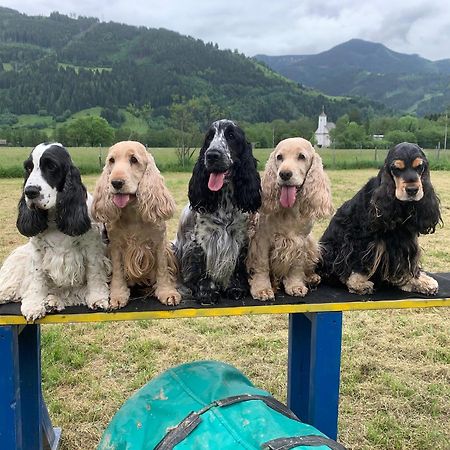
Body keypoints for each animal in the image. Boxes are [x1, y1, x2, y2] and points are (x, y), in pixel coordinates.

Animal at [0, 142, 110, 320]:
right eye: (28, 167)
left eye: (51, 166)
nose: (30, 192)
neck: (54, 216)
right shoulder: (37, 251)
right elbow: (37, 277)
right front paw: (34, 305)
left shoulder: (92, 248)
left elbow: (95, 272)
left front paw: (98, 298)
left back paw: (52, 301)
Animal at [92, 142, 181, 310]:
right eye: (111, 160)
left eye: (134, 159)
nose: (116, 183)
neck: (133, 213)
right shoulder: (115, 245)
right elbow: (118, 270)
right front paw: (118, 295)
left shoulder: (159, 242)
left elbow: (162, 268)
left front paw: (167, 292)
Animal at [174, 119, 262, 302]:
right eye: (209, 137)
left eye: (231, 136)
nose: (212, 155)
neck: (224, 200)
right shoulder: (200, 240)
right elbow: (203, 267)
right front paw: (207, 292)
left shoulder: (239, 238)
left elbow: (236, 266)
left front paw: (235, 288)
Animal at [248, 137, 332, 298]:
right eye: (279, 157)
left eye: (302, 157)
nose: (284, 174)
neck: (289, 211)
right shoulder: (261, 239)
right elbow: (262, 265)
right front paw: (262, 289)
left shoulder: (301, 240)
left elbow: (296, 265)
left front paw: (295, 285)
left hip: (312, 243)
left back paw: (311, 277)